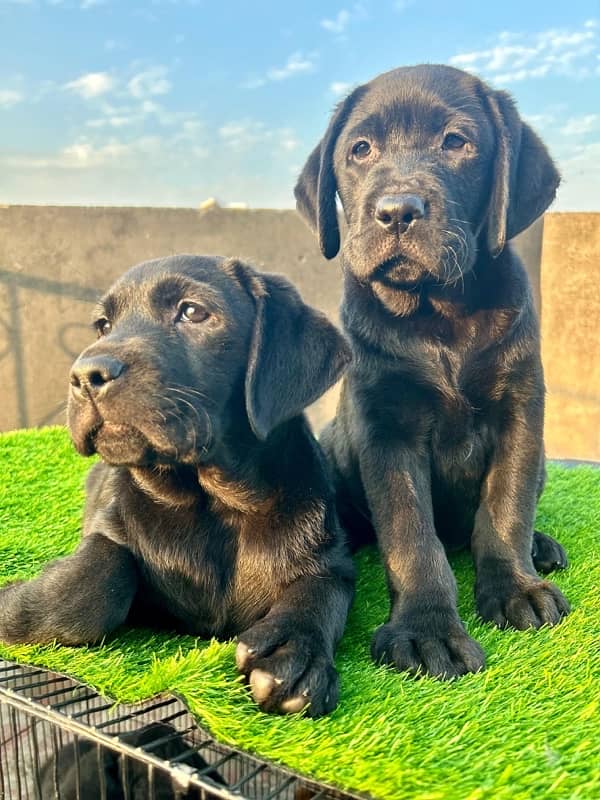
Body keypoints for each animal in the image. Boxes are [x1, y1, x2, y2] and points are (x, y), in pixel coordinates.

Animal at [0, 253, 354, 716]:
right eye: (103, 325)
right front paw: (18, 606)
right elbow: (95, 578)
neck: (212, 503)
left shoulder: (332, 558)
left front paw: (293, 649)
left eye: (192, 312)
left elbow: (319, 592)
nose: (84, 375)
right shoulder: (109, 528)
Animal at [298, 62, 568, 680]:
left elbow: (507, 505)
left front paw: (515, 587)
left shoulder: (521, 410)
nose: (397, 211)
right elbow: (412, 537)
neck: (437, 311)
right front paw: (425, 631)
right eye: (361, 150)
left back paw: (540, 548)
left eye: (456, 142)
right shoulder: (387, 430)